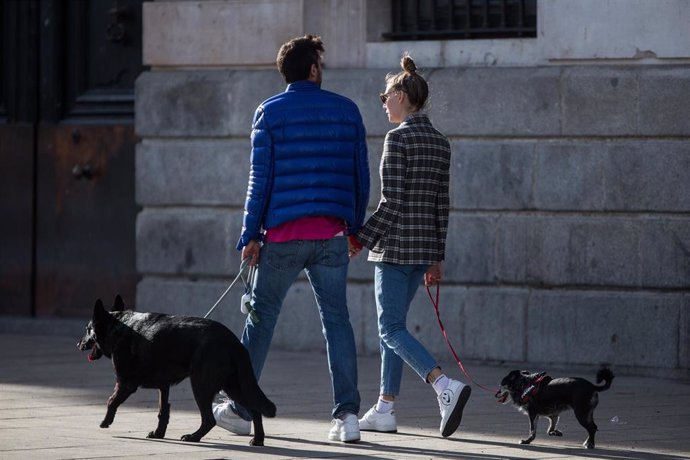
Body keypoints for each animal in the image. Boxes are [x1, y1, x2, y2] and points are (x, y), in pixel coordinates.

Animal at [76, 294, 276, 446]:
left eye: (87, 329)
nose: (78, 344)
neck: (118, 326)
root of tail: (233, 342)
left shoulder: (125, 383)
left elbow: (111, 401)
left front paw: (105, 421)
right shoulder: (163, 387)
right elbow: (163, 411)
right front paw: (159, 433)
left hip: (201, 385)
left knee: (209, 419)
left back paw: (194, 437)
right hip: (234, 386)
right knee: (255, 410)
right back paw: (258, 440)